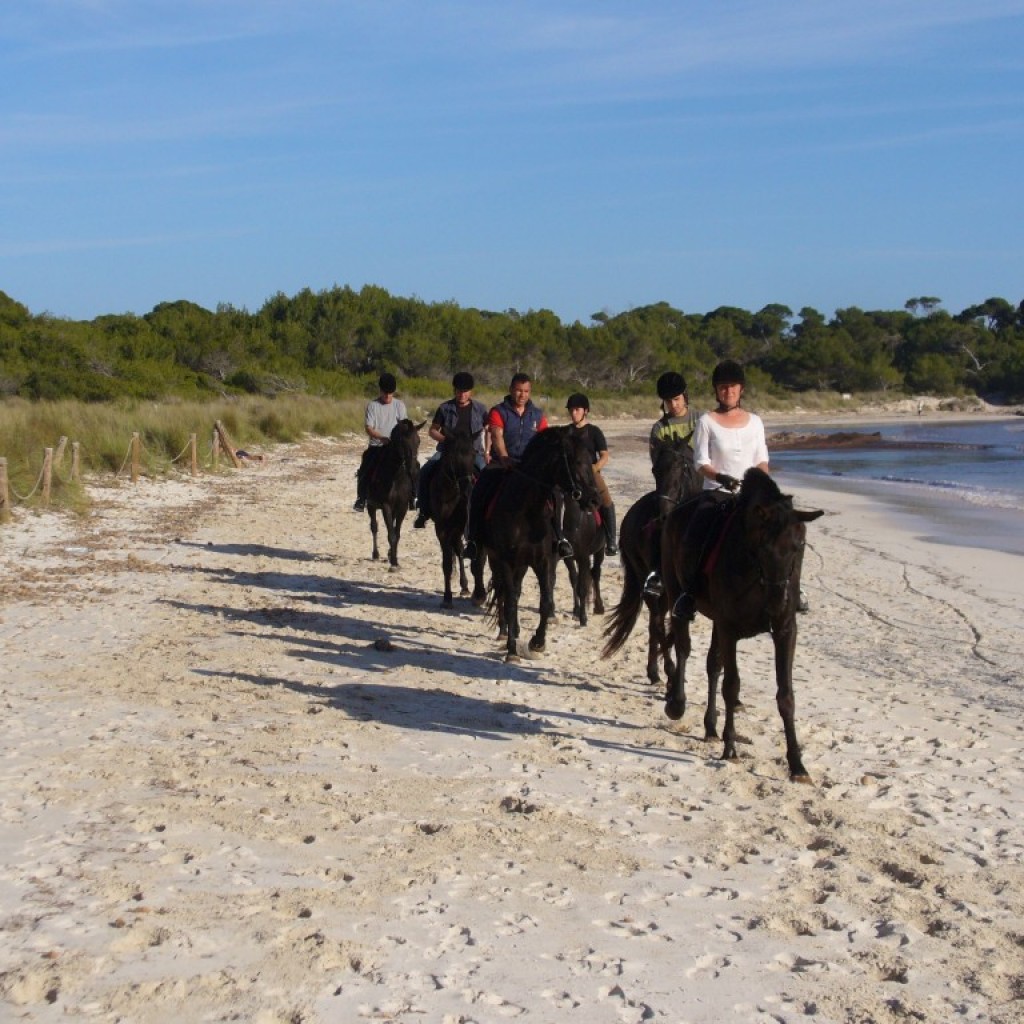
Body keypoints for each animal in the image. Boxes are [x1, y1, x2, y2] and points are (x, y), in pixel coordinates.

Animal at [366, 419, 421, 573]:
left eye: (418, 441)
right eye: (403, 442)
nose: (413, 469)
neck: (396, 476)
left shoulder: (402, 507)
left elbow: (397, 533)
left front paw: (393, 558)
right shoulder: (386, 507)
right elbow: (391, 534)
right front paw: (394, 563)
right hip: (371, 506)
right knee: (374, 527)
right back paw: (375, 554)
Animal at [425, 430, 485, 606]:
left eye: (474, 454)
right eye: (454, 456)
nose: (468, 486)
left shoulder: (462, 526)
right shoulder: (441, 528)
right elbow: (446, 563)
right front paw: (447, 598)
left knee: (459, 550)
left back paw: (465, 586)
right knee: (456, 549)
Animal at [483, 425, 602, 659]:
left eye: (590, 459)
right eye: (576, 461)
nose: (593, 499)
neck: (526, 510)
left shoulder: (544, 561)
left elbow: (545, 602)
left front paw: (538, 641)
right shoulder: (507, 561)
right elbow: (510, 601)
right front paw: (512, 649)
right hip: (496, 560)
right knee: (504, 594)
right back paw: (505, 631)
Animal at [598, 432, 704, 679]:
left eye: (682, 467)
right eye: (655, 470)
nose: (663, 513)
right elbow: (664, 627)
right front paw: (671, 670)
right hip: (645, 579)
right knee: (655, 621)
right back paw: (657, 670)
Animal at [663, 468, 823, 778]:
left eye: (799, 546)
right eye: (763, 546)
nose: (778, 600)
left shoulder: (784, 630)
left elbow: (786, 695)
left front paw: (797, 764)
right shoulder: (729, 629)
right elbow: (731, 686)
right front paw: (731, 748)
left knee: (712, 665)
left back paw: (710, 726)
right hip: (676, 593)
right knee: (684, 647)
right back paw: (677, 703)